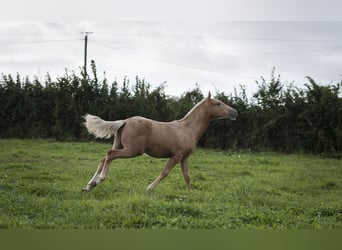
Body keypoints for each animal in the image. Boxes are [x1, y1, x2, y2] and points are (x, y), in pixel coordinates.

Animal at [83, 92, 238, 191]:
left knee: (104, 158)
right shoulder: (177, 155)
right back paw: (100, 179)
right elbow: (165, 173)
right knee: (110, 155)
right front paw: (149, 188)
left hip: (120, 144)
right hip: (133, 150)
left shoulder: (185, 158)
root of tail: (125, 121)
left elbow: (187, 176)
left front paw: (189, 194)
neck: (187, 129)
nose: (234, 112)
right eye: (218, 103)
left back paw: (89, 185)